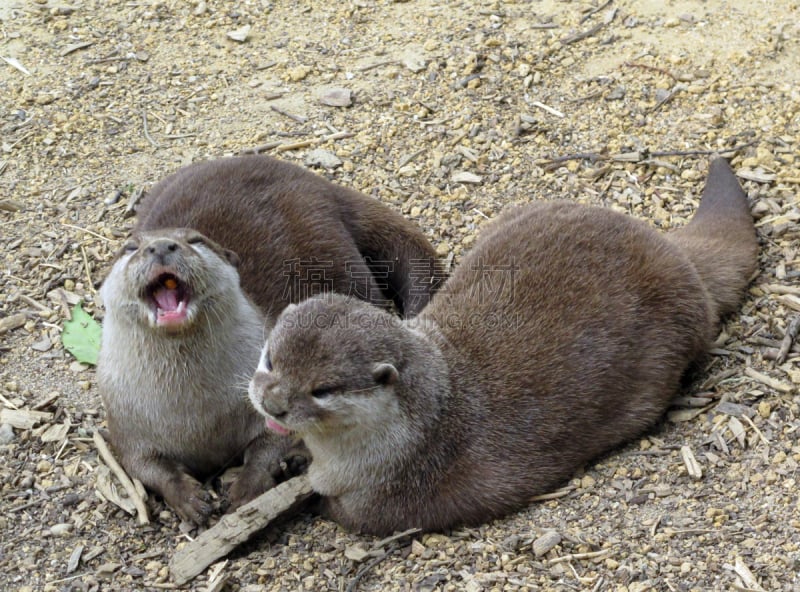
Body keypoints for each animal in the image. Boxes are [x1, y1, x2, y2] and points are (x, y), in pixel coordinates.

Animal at [98, 154, 444, 524]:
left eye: (196, 240)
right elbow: (145, 468)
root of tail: (318, 185)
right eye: (131, 247)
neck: (194, 415)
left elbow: (270, 444)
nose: (161, 246)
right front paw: (188, 498)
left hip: (330, 247)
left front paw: (246, 489)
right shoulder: (126, 424)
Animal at [248, 158, 756, 536]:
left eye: (323, 389)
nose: (272, 403)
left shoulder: (402, 497)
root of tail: (675, 252)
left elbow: (346, 514)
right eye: (271, 358)